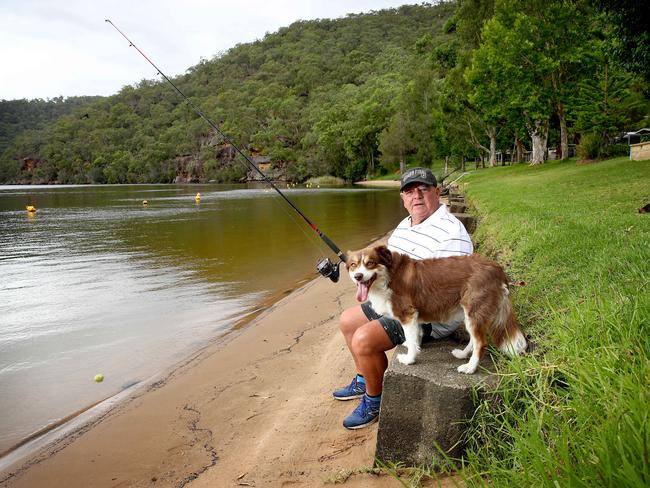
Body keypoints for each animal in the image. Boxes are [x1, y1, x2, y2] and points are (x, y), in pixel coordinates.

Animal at [346, 244, 524, 374]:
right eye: (353, 265)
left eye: (370, 263)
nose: (358, 277)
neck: (389, 276)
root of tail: (498, 269)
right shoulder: (414, 316)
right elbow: (415, 336)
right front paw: (414, 347)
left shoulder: (407, 314)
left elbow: (411, 338)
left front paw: (410, 359)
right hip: (470, 314)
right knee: (474, 340)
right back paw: (462, 354)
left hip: (473, 311)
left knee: (480, 343)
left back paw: (470, 368)